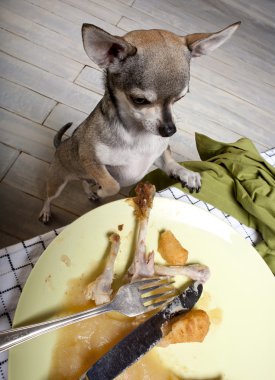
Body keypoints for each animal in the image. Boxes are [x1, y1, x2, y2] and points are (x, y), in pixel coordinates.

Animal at [40, 21, 240, 223]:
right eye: (139, 100)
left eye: (180, 98)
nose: (169, 130)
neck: (138, 134)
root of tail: (59, 146)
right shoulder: (90, 159)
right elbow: (113, 184)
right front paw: (102, 190)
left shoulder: (159, 153)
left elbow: (170, 162)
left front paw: (186, 173)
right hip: (57, 181)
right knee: (49, 196)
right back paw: (47, 211)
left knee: (84, 183)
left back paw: (90, 192)